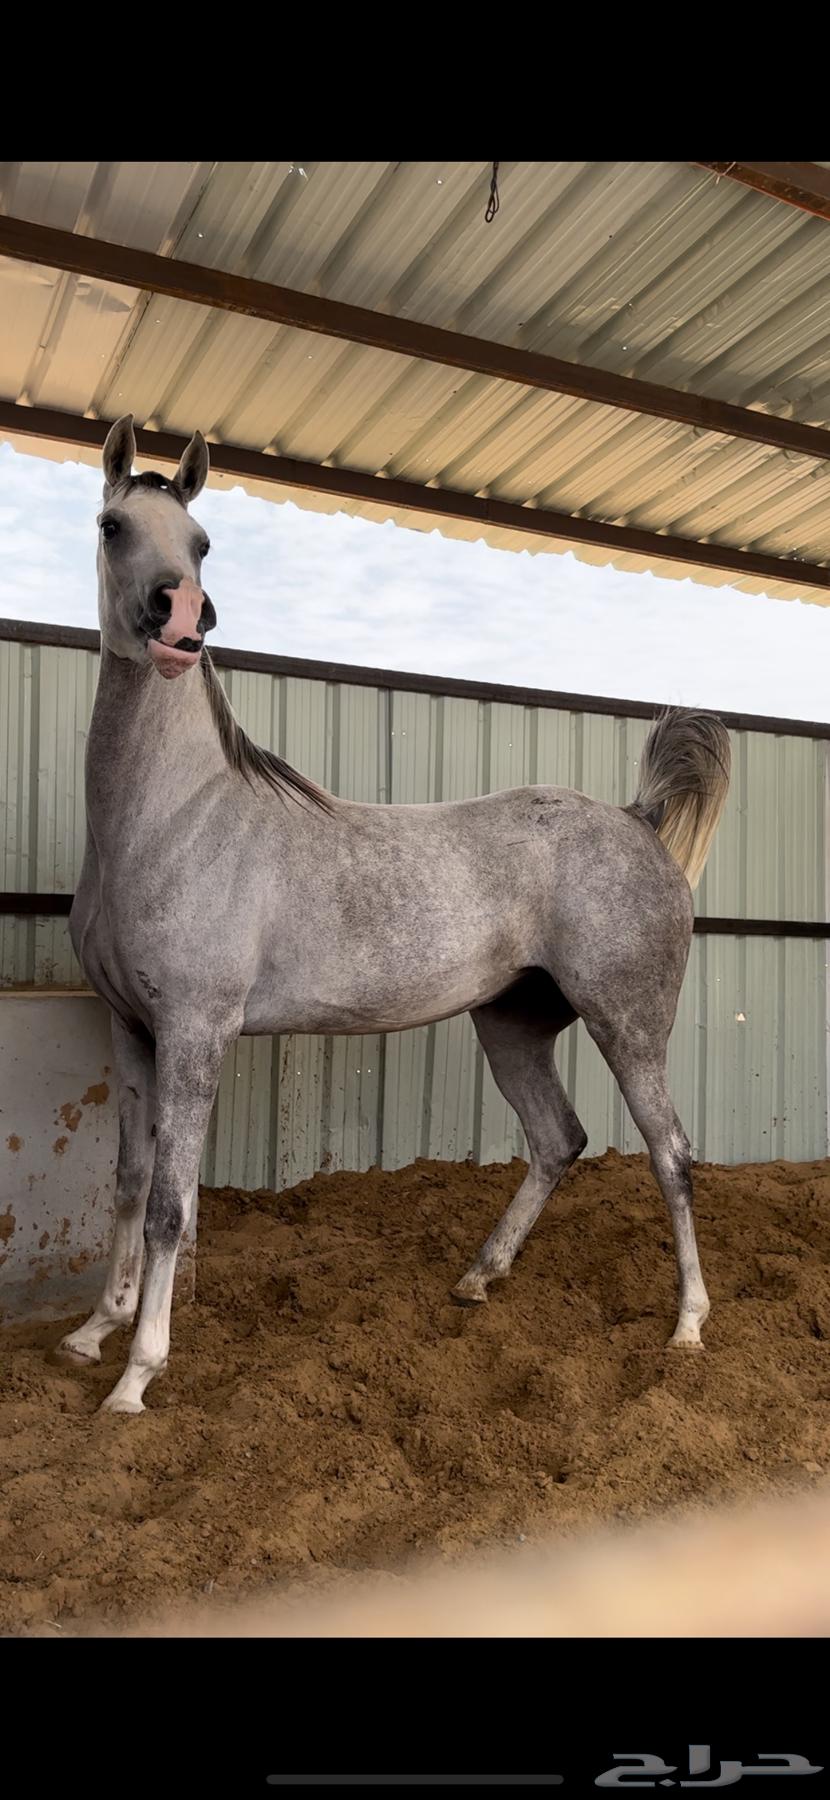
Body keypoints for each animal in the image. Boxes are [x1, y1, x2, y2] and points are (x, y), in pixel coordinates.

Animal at [59, 415, 730, 1414]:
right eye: (112, 527)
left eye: (203, 542)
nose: (182, 621)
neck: (175, 818)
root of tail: (636, 819)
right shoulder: (131, 1031)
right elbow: (129, 1184)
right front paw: (93, 1332)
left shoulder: (193, 1033)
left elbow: (171, 1207)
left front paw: (137, 1376)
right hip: (513, 1024)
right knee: (558, 1140)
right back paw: (478, 1278)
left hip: (628, 1024)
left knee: (671, 1154)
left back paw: (687, 1324)